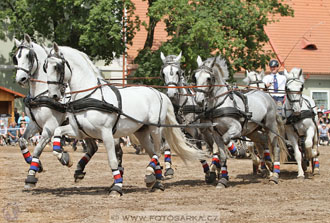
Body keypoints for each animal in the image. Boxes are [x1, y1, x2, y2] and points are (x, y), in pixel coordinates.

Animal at [12, 34, 101, 188]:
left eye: (29, 56)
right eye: (16, 57)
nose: (20, 79)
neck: (41, 94)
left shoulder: (50, 125)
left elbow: (38, 148)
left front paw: (31, 176)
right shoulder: (34, 124)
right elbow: (22, 141)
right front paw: (38, 165)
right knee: (92, 148)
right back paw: (79, 171)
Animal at [43, 42, 206, 196]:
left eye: (57, 67)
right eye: (45, 67)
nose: (54, 95)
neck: (90, 97)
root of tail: (160, 94)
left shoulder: (106, 133)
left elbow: (113, 160)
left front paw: (117, 187)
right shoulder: (79, 131)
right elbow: (57, 132)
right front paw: (63, 157)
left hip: (155, 129)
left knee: (159, 150)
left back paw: (154, 177)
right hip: (142, 132)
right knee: (152, 152)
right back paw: (154, 180)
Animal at [192, 55, 288, 186]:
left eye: (208, 78)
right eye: (195, 77)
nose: (199, 100)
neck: (220, 103)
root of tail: (267, 96)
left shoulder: (236, 128)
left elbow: (226, 138)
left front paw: (235, 151)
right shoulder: (216, 134)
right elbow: (222, 156)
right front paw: (222, 180)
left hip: (270, 126)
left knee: (275, 147)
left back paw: (275, 176)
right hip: (252, 131)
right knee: (262, 142)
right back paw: (268, 165)